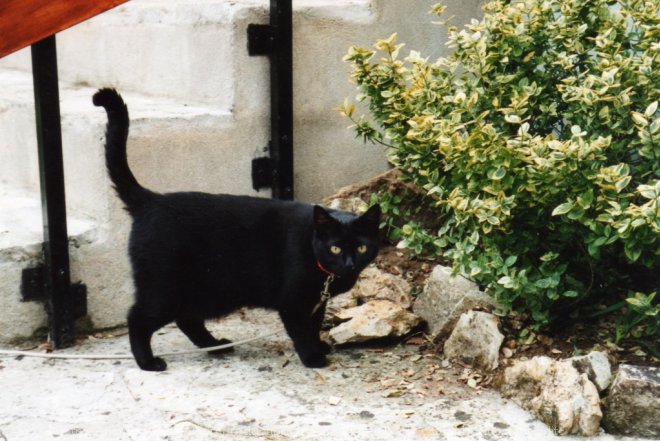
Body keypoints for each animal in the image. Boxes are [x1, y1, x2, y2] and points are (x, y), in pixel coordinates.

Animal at [93, 87, 382, 370]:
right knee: (138, 318)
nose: (349, 264)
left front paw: (319, 345)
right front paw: (312, 357)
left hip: (207, 291)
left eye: (361, 247)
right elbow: (301, 331)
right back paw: (148, 362)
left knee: (187, 318)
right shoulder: (294, 302)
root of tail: (151, 200)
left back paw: (215, 345)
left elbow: (314, 325)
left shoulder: (316, 301)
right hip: (167, 288)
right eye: (335, 248)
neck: (321, 267)